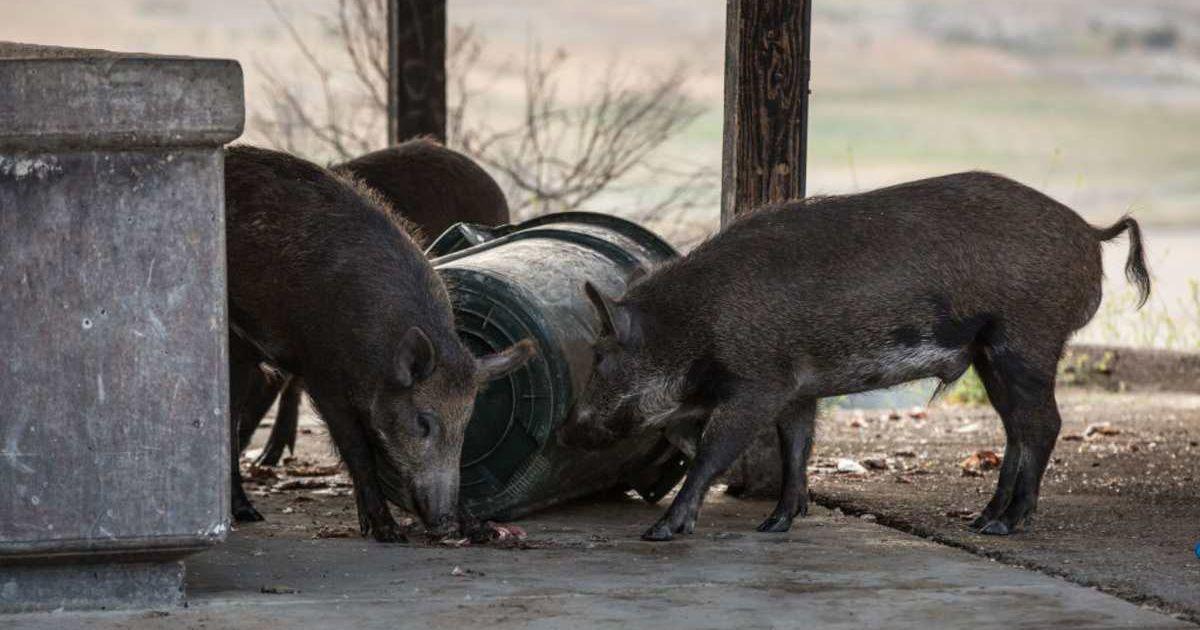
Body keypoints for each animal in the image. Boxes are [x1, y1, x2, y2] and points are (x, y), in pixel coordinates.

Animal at [559, 171, 1150, 541]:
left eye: (601, 355)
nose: (566, 429)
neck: (693, 326)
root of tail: (1090, 231)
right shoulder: (798, 387)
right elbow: (796, 446)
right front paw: (774, 526)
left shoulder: (758, 383)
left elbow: (713, 452)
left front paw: (659, 532)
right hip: (990, 353)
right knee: (1016, 429)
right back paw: (981, 522)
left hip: (1026, 339)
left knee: (1044, 424)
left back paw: (1008, 526)